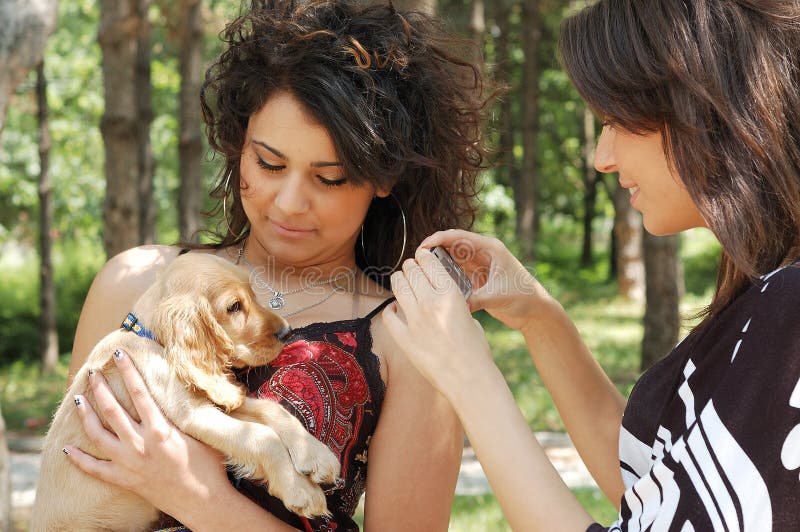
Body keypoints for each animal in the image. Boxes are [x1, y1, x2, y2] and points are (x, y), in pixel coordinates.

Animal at [33, 254, 340, 532]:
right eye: (234, 307)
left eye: (253, 295)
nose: (287, 332)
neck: (153, 340)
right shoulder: (193, 413)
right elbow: (261, 437)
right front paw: (302, 491)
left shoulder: (213, 399)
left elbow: (272, 410)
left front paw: (316, 456)